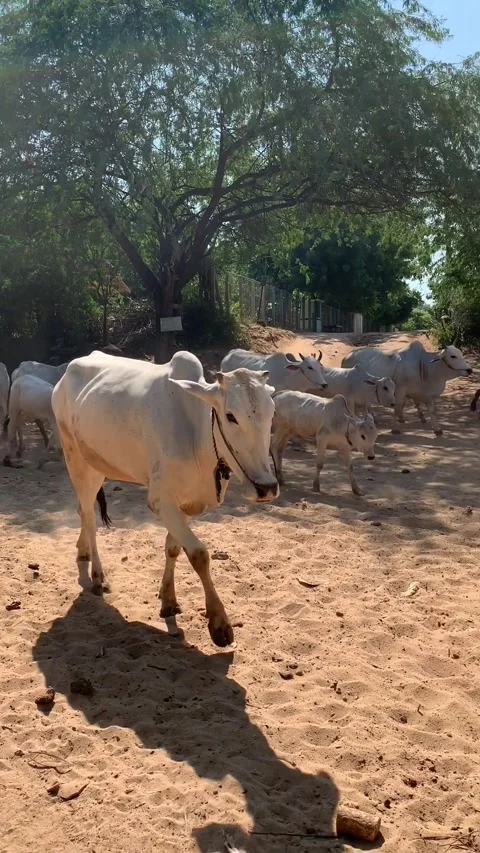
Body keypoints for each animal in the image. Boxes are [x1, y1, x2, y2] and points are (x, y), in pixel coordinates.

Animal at [52, 350, 279, 647]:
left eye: (271, 413)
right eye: (231, 416)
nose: (267, 487)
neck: (197, 435)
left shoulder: (188, 505)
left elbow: (173, 548)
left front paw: (168, 600)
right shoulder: (160, 500)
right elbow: (199, 554)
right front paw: (219, 622)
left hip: (96, 464)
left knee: (82, 509)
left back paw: (83, 551)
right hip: (75, 458)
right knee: (89, 516)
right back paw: (98, 577)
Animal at [342, 341, 472, 436]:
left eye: (461, 354)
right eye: (453, 356)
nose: (469, 370)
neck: (423, 366)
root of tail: (347, 356)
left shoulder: (426, 395)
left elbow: (430, 410)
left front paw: (436, 428)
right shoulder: (400, 390)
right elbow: (397, 408)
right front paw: (395, 428)